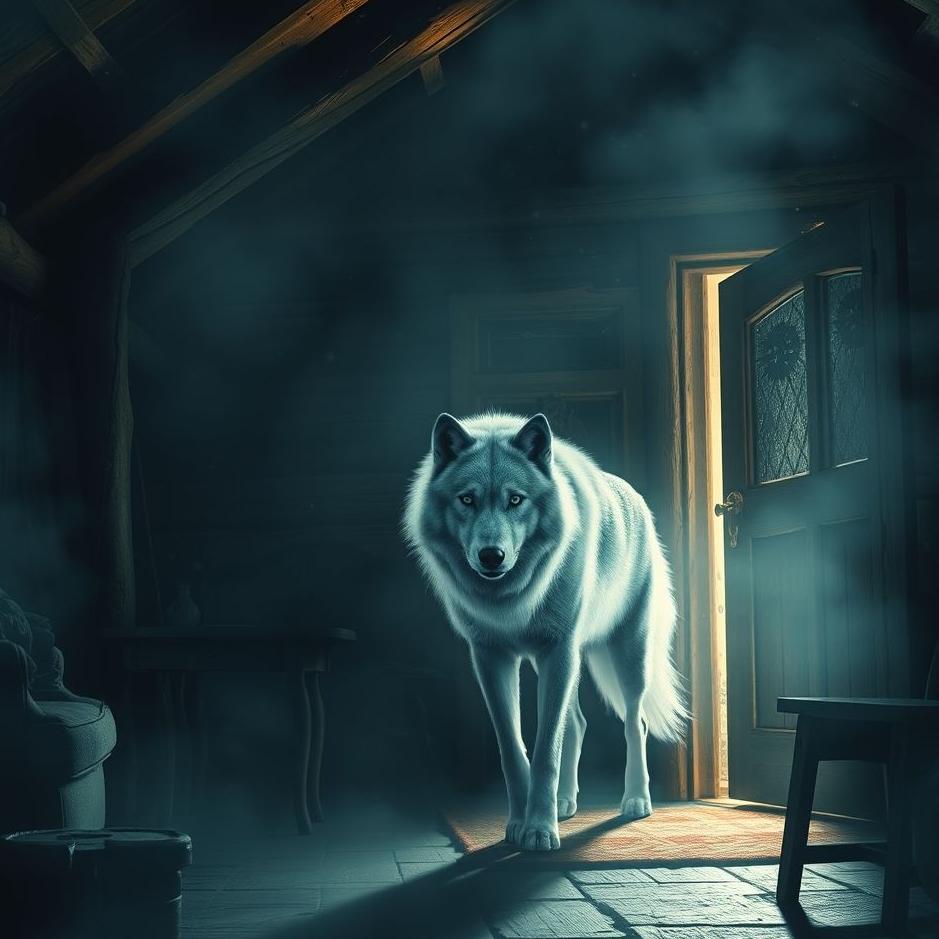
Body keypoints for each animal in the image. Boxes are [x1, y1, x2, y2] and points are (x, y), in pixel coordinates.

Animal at [403, 411, 686, 851]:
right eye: (467, 499)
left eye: (515, 499)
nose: (491, 556)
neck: (509, 601)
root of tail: (634, 495)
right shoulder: (492, 658)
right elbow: (514, 750)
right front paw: (521, 825)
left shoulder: (557, 650)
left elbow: (544, 752)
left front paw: (539, 830)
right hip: (559, 665)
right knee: (577, 724)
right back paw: (566, 803)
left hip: (625, 656)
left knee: (634, 722)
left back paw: (636, 801)